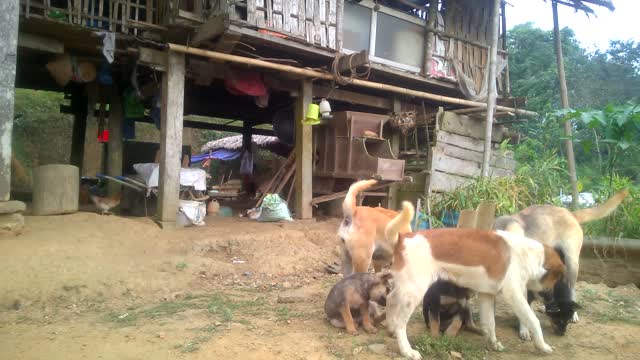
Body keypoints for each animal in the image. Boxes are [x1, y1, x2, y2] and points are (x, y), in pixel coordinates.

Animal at [384, 201, 564, 358]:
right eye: (555, 280)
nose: (553, 304)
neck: (530, 255)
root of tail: (403, 238)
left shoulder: (486, 295)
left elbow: (490, 323)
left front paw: (493, 343)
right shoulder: (514, 296)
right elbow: (534, 321)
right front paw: (542, 346)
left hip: (405, 288)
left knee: (390, 299)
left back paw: (390, 328)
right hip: (415, 292)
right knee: (401, 322)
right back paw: (406, 350)